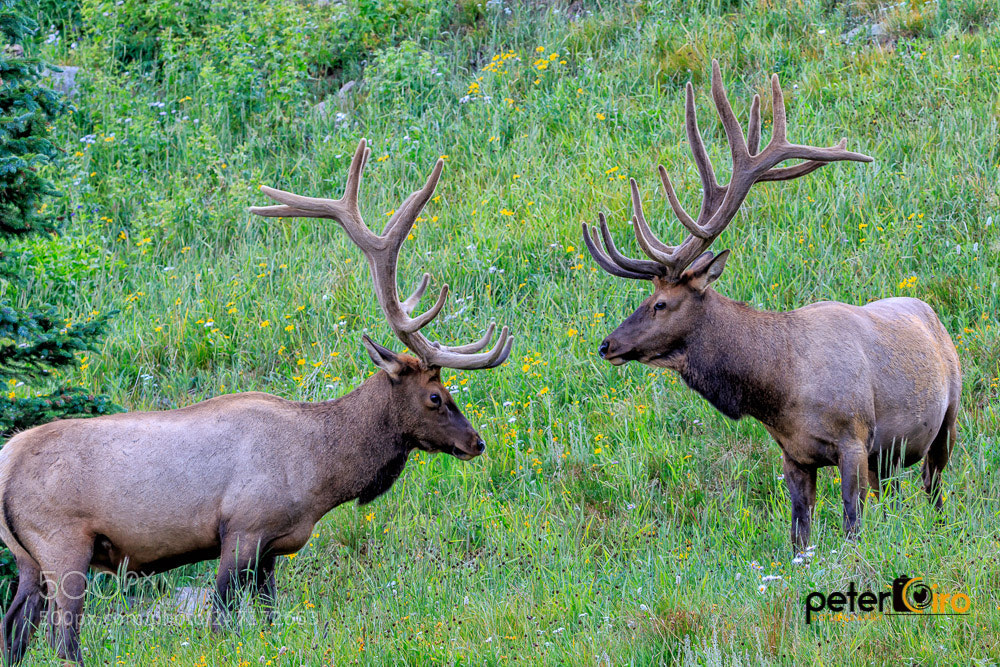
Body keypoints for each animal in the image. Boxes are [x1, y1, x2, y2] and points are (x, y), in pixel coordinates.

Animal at [0, 138, 513, 665]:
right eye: (436, 396)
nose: (476, 442)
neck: (318, 472)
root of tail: (6, 459)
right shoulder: (242, 530)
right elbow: (219, 620)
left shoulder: (270, 550)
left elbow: (269, 619)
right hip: (63, 545)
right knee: (63, 636)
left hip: (26, 559)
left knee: (14, 628)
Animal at [584, 60, 960, 553]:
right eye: (644, 298)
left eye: (660, 303)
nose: (607, 344)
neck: (781, 389)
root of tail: (934, 316)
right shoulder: (793, 453)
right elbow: (799, 534)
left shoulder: (854, 437)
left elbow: (851, 524)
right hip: (889, 456)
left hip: (947, 419)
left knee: (934, 488)